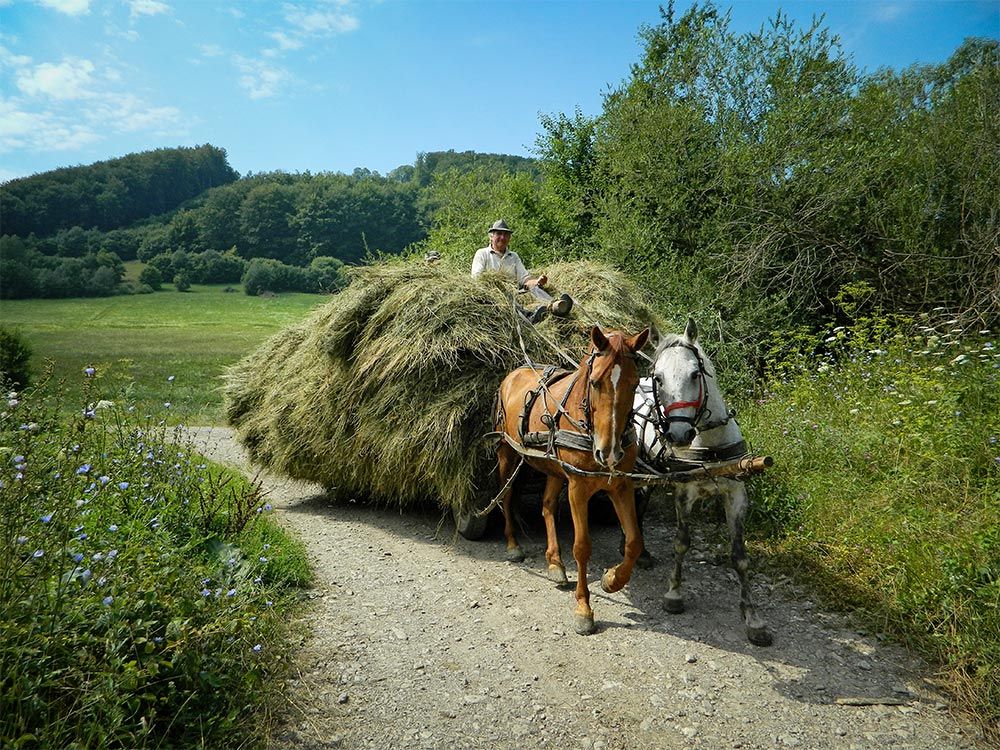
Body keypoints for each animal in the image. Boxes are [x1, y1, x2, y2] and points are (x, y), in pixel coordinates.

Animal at [492, 326, 648, 636]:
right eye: (596, 382)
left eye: (635, 383)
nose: (609, 452)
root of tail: (514, 373)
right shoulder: (578, 488)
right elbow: (582, 547)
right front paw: (584, 609)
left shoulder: (620, 485)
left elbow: (634, 542)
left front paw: (612, 580)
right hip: (507, 453)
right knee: (506, 495)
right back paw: (513, 544)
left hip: (554, 469)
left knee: (547, 505)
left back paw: (554, 562)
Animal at [632, 318, 772, 648]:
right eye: (658, 378)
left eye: (695, 374)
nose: (679, 435)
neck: (709, 443)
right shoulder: (685, 492)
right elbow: (682, 542)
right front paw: (674, 593)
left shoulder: (736, 494)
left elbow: (740, 557)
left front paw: (753, 618)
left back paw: (639, 552)